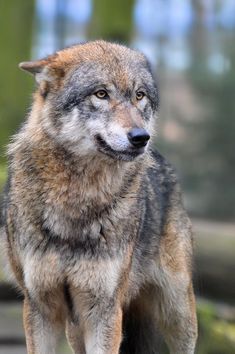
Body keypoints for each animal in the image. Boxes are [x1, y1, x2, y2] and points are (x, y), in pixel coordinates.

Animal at [0, 40, 197, 352]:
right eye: (101, 94)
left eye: (139, 95)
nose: (140, 137)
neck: (76, 198)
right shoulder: (40, 307)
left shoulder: (104, 309)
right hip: (75, 327)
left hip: (177, 310)